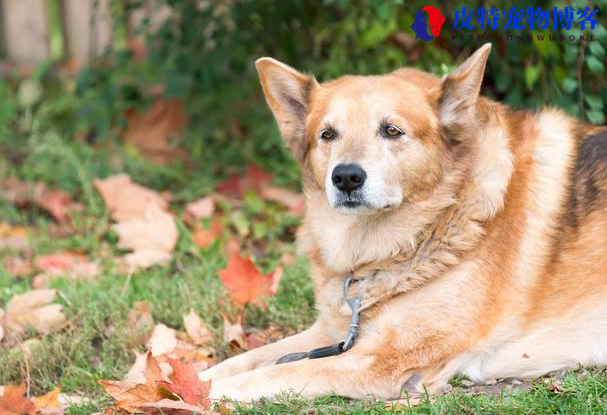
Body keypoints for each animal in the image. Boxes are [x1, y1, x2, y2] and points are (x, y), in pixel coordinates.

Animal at [200, 43, 607, 404]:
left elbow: (266, 375)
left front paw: (205, 394)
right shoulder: (331, 332)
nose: (346, 178)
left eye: (391, 130)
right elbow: (241, 361)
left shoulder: (382, 360)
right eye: (327, 134)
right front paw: (194, 377)